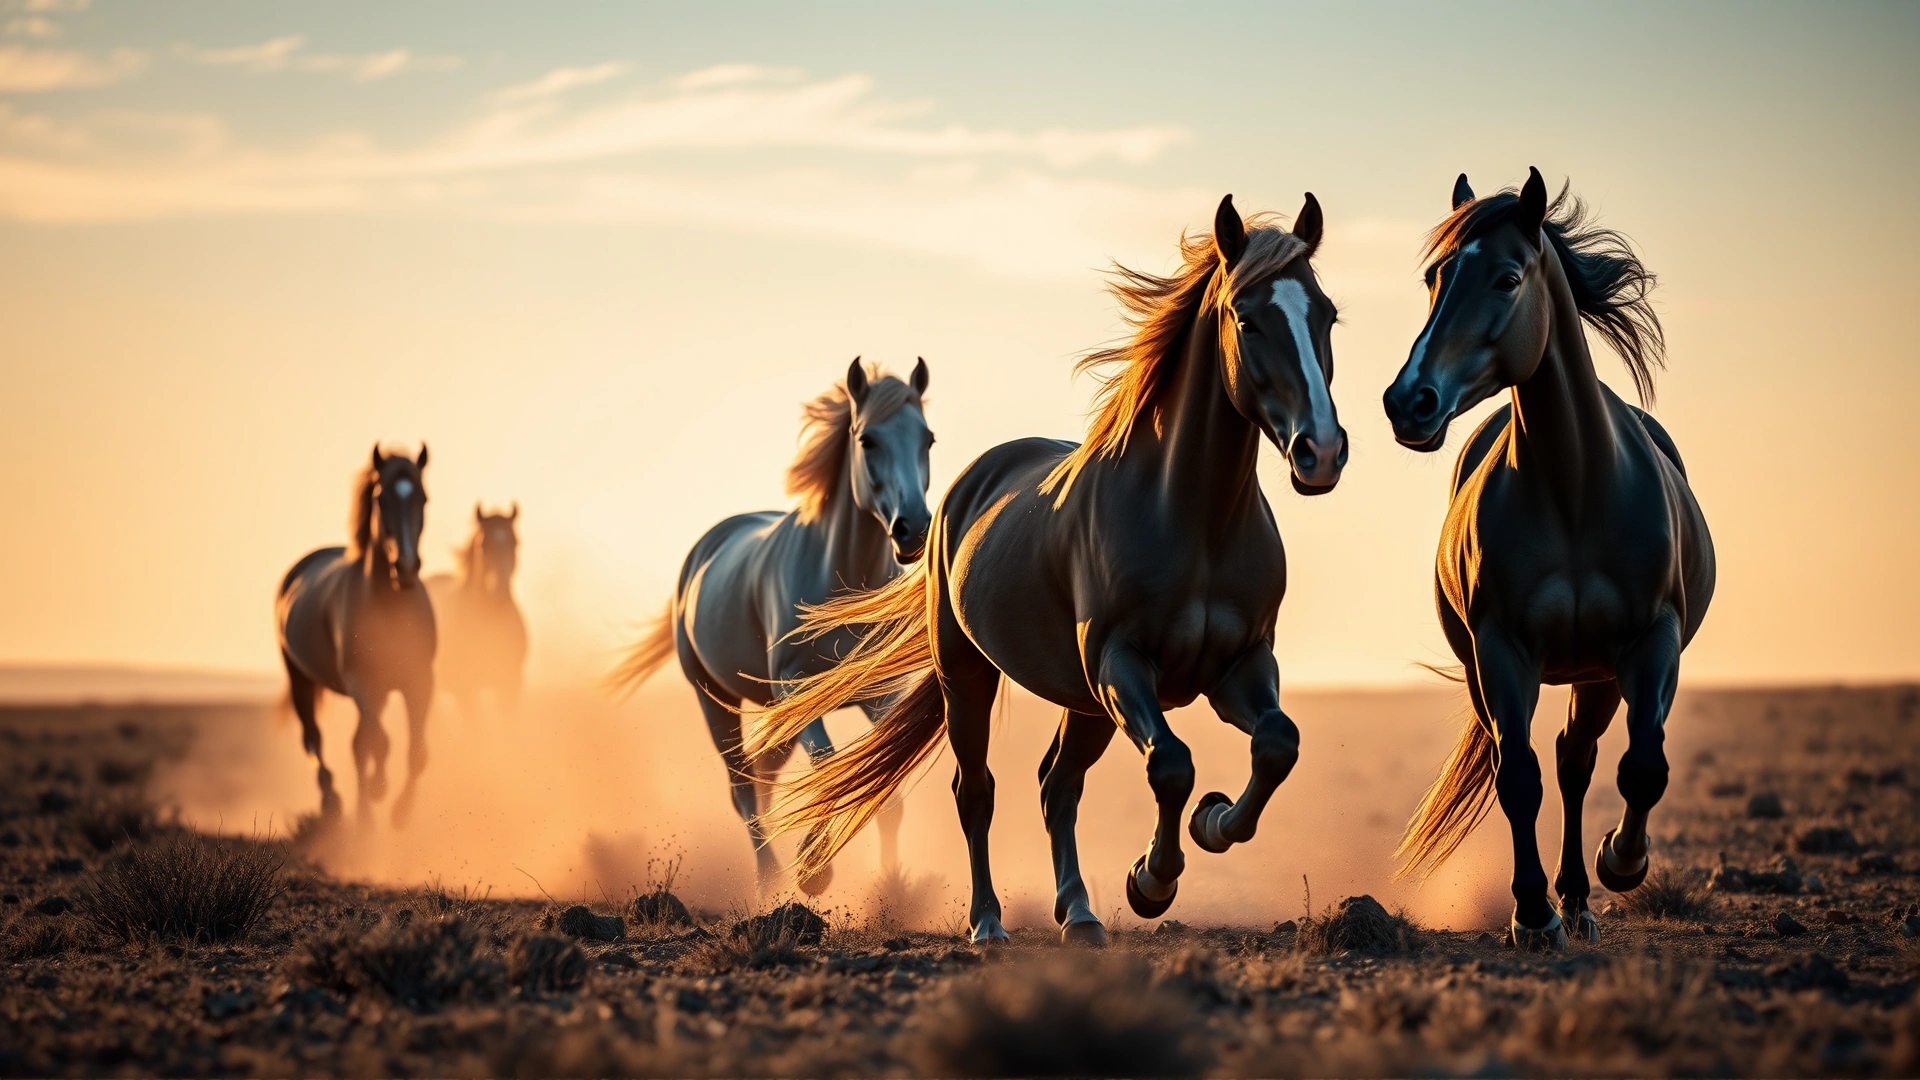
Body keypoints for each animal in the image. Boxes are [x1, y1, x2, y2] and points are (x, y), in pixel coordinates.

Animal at [608, 358, 934, 896]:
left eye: (928, 438)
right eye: (867, 439)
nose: (914, 529)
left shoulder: (880, 695)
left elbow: (883, 786)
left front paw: (889, 893)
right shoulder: (795, 689)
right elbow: (828, 768)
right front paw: (814, 871)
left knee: (761, 780)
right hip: (714, 700)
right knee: (743, 789)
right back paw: (769, 882)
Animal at [752, 194, 1345, 945]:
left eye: (1327, 314)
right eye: (1247, 316)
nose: (1320, 451)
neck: (1192, 519)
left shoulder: (1239, 667)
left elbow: (1276, 745)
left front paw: (1211, 824)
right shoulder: (1123, 665)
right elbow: (1171, 765)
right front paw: (1153, 879)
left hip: (1083, 702)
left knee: (1056, 786)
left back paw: (1081, 913)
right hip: (971, 676)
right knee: (976, 791)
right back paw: (988, 922)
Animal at [1383, 169, 1715, 950]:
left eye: (1507, 277)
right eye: (1435, 278)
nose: (1409, 402)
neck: (1575, 489)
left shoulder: (1649, 644)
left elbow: (1642, 765)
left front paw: (1622, 862)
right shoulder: (1502, 652)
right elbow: (1518, 780)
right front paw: (1532, 915)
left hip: (1597, 675)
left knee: (1578, 760)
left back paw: (1585, 895)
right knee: (1551, 763)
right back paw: (1562, 901)